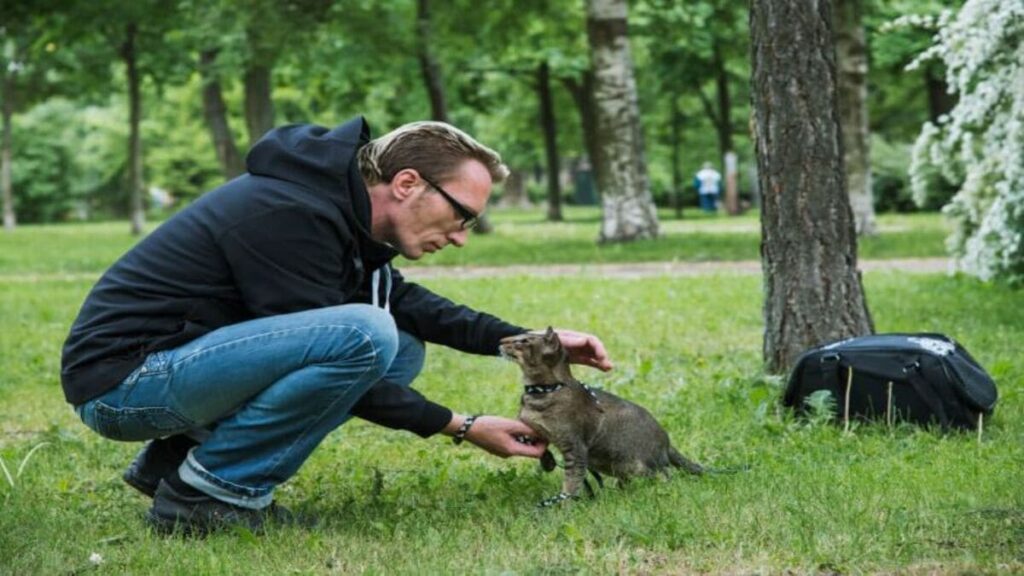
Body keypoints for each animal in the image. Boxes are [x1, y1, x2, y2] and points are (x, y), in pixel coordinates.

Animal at [495, 325, 704, 504]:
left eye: (523, 341)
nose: (501, 340)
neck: (540, 391)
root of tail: (666, 442)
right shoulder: (536, 429)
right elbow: (541, 446)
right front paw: (547, 462)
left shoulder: (575, 449)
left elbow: (570, 486)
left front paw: (563, 509)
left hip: (641, 466)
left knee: (666, 477)